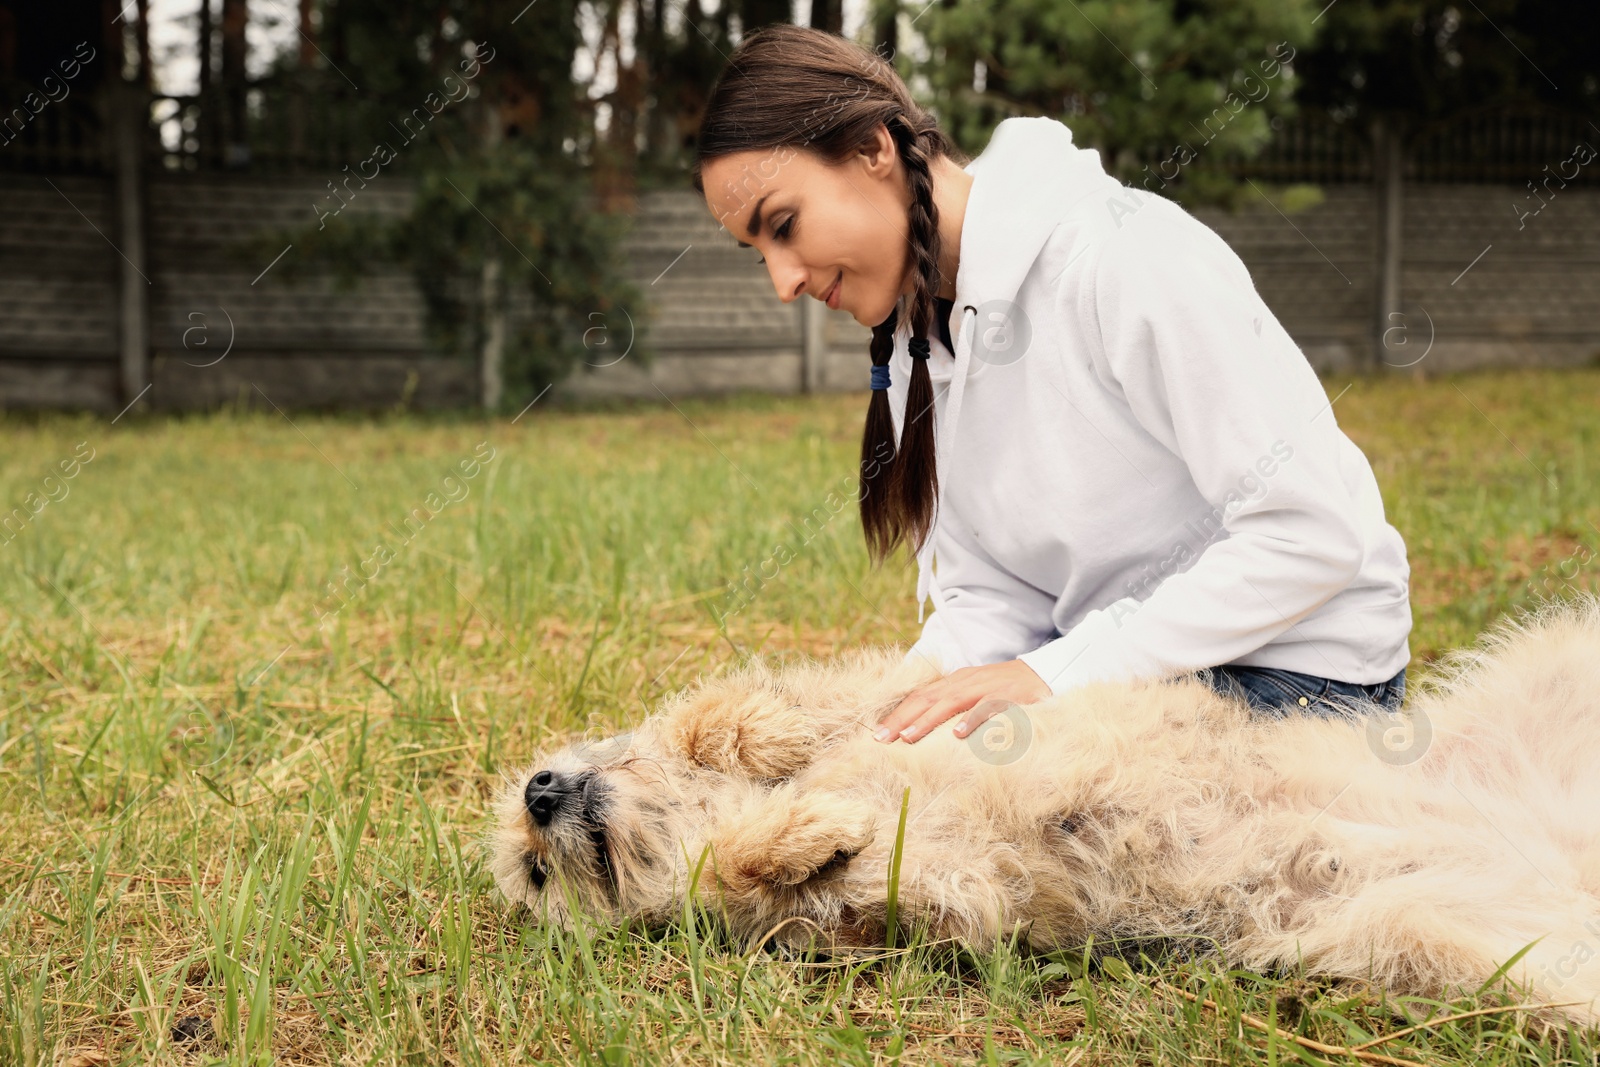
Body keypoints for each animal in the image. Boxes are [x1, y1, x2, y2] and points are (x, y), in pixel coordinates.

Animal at [486, 601, 1600, 1023]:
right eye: (536, 875)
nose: (538, 793)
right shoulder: (920, 895)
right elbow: (759, 872)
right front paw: (784, 836)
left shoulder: (895, 699)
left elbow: (766, 714)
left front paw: (746, 744)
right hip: (1467, 939)